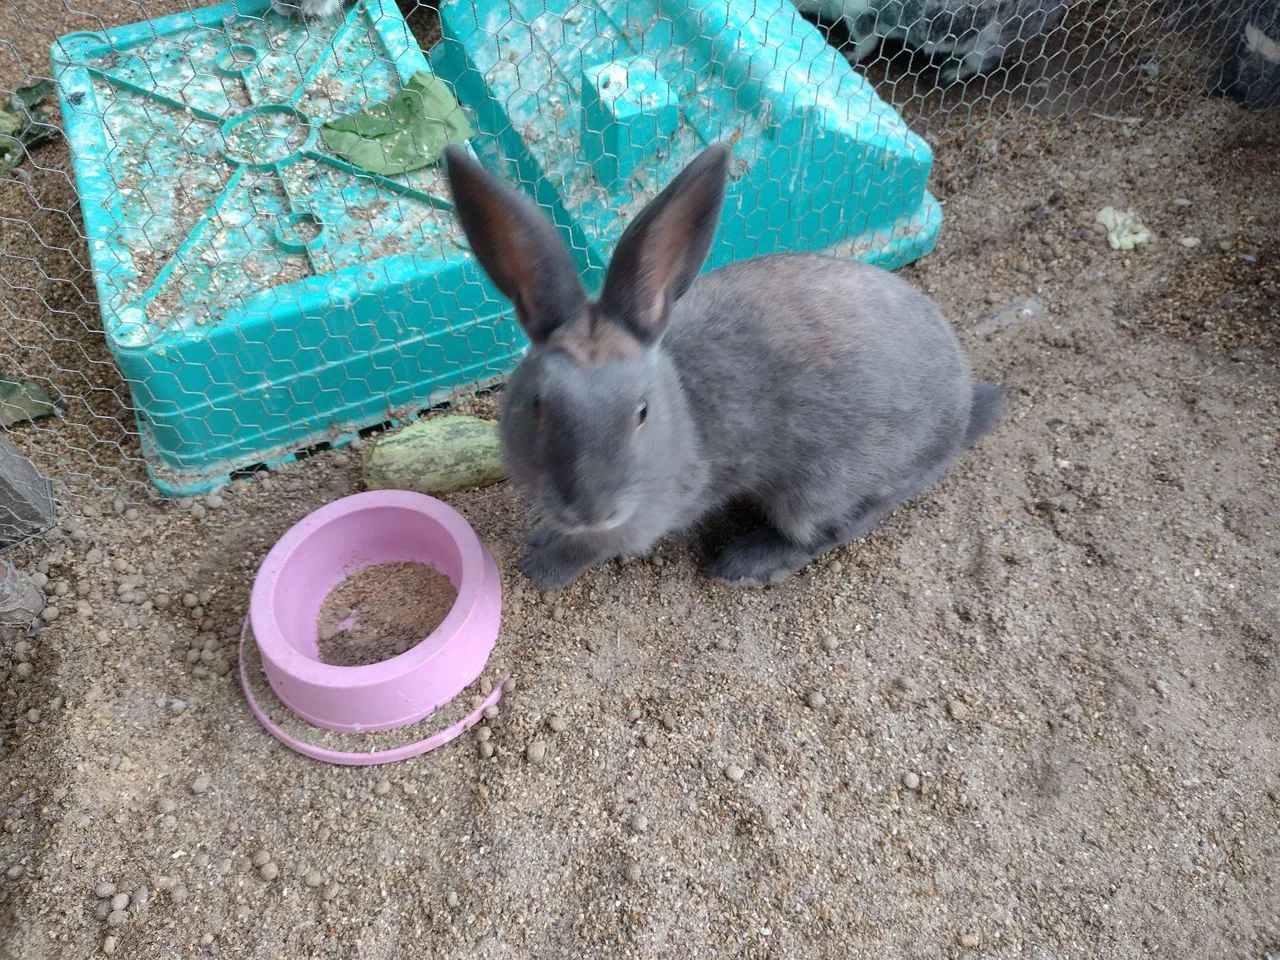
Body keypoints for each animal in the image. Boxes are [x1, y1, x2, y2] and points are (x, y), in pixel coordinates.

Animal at [443, 143, 1006, 591]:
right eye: (538, 405)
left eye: (642, 413)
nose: (589, 509)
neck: (681, 409)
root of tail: (960, 415)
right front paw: (541, 537)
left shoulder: (644, 517)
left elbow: (591, 548)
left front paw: (542, 569)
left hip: (820, 489)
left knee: (834, 528)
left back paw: (746, 564)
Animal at [791, 0, 1067, 81]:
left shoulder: (859, 14)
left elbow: (865, 42)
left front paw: (848, 55)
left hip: (991, 39)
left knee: (982, 63)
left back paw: (949, 74)